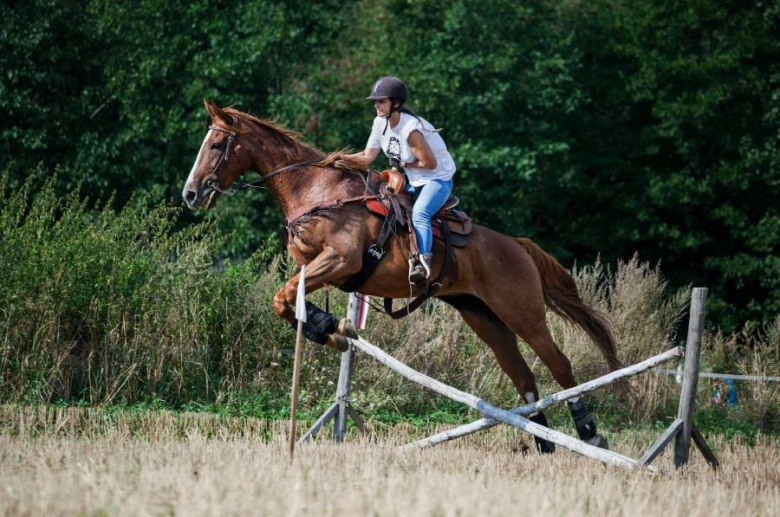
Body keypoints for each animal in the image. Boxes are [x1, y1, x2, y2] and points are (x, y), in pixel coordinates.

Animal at [183, 99, 620, 450]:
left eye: (217, 145)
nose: (190, 194)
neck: (318, 191)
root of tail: (516, 244)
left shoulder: (341, 261)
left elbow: (286, 295)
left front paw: (332, 328)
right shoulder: (312, 266)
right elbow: (286, 299)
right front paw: (331, 329)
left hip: (522, 312)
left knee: (559, 364)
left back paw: (588, 431)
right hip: (482, 317)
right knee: (523, 375)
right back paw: (544, 441)